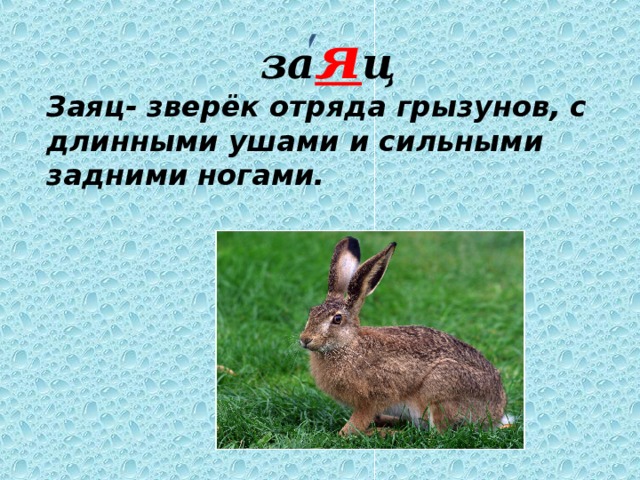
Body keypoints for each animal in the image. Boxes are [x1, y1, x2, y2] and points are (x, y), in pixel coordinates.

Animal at [299, 236, 507, 436]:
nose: (305, 339)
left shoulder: (372, 398)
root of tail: (497, 411)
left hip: (440, 390)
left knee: (438, 434)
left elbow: (351, 428)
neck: (347, 346)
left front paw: (353, 431)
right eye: (311, 312)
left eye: (337, 319)